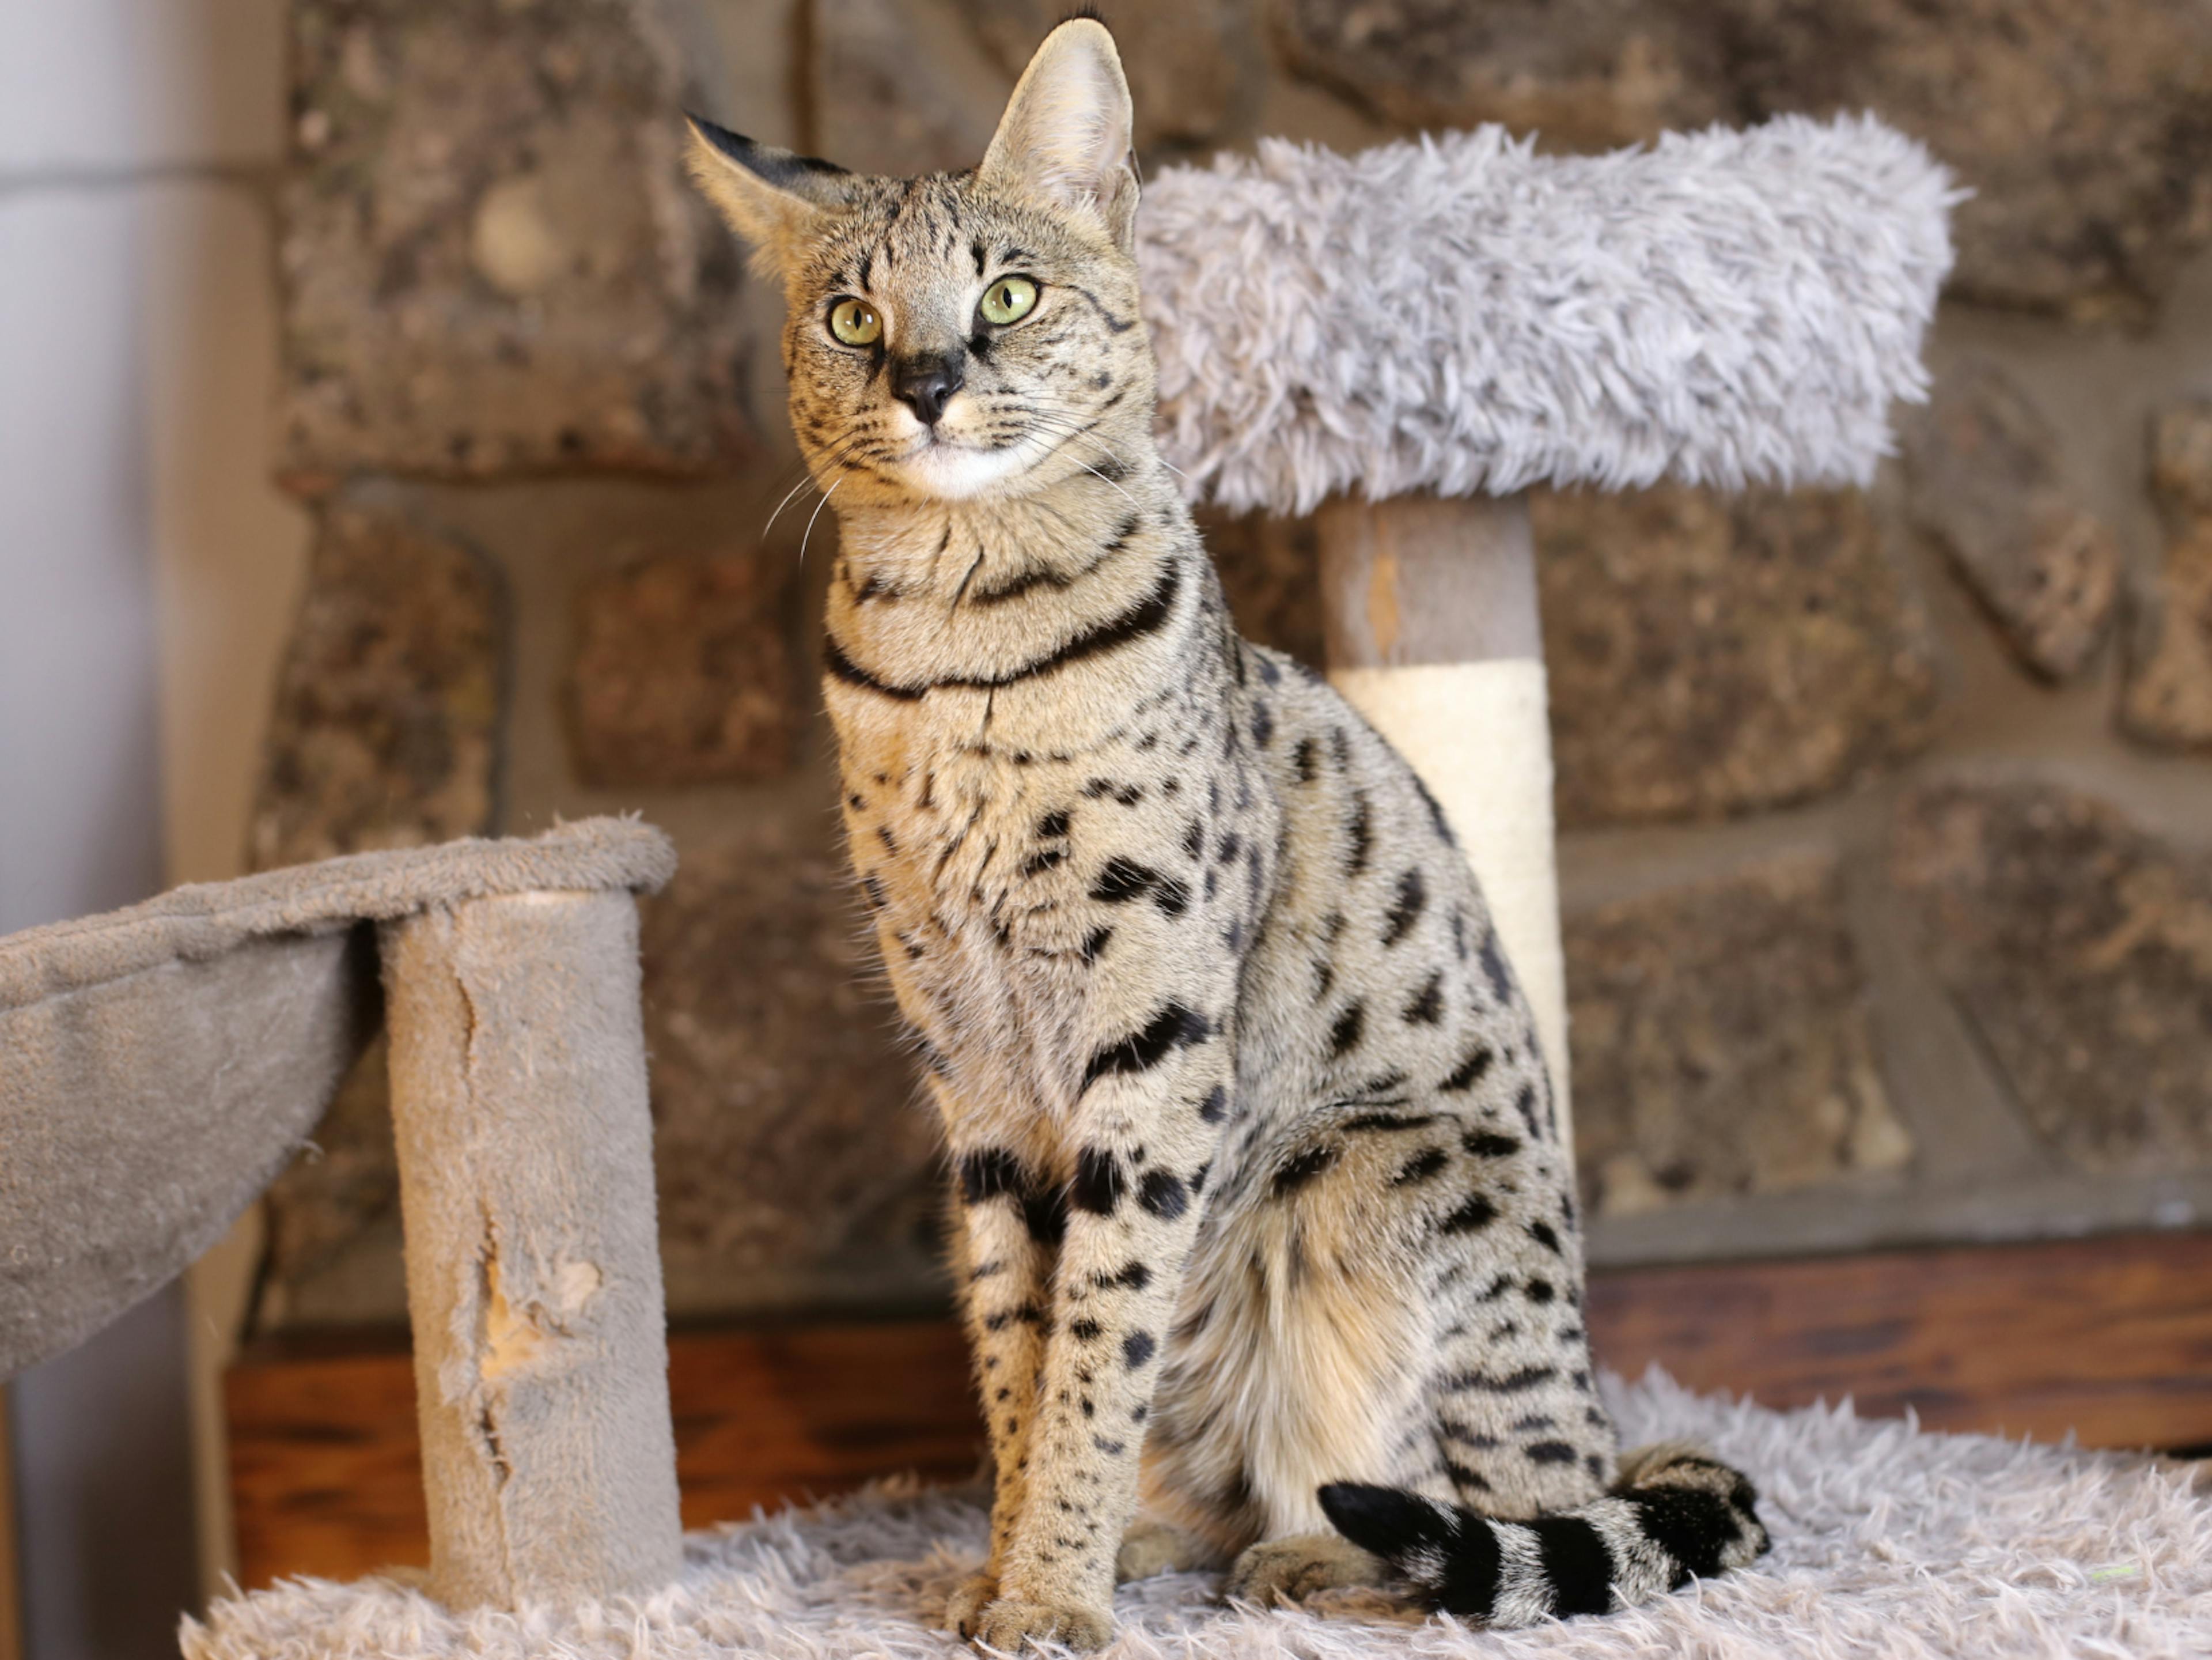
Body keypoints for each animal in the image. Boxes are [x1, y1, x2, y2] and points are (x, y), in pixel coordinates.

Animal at [681, 19, 1770, 1655]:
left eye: (1008, 296)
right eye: (853, 317)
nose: (928, 382)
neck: (953, 637)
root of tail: (1606, 1415)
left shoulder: (1152, 1036)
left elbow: (1097, 1340)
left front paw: (1050, 1589)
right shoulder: (971, 1072)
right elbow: (1019, 1343)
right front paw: (1013, 1562)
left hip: (1361, 1173)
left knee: (1498, 1518)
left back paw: (1322, 1561)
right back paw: (1163, 1535)